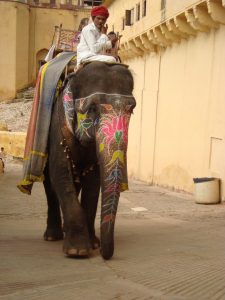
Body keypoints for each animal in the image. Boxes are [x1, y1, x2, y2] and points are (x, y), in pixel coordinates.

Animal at [43, 62, 135, 258]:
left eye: (132, 109)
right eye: (92, 108)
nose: (104, 254)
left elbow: (94, 182)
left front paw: (92, 244)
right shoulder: (58, 127)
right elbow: (60, 173)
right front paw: (77, 251)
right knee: (49, 182)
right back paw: (52, 236)